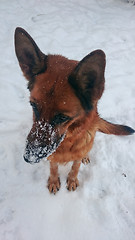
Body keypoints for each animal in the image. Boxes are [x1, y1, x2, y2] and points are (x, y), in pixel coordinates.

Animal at [14, 27, 134, 193]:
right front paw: (53, 181)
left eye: (62, 117)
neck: (67, 140)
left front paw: (71, 180)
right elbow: (53, 166)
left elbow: (75, 167)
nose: (28, 158)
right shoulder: (53, 156)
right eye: (33, 106)